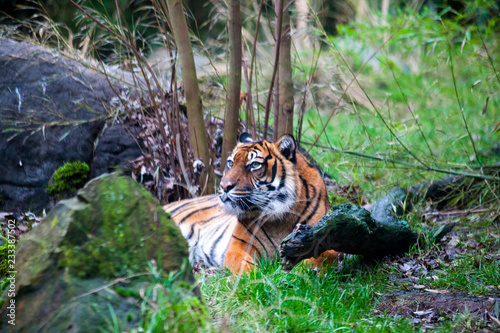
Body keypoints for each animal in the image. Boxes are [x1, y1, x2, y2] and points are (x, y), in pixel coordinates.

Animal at [164, 132, 340, 272]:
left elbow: (321, 259)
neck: (280, 217)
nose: (224, 186)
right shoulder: (239, 245)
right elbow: (243, 266)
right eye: (230, 163)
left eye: (254, 165)